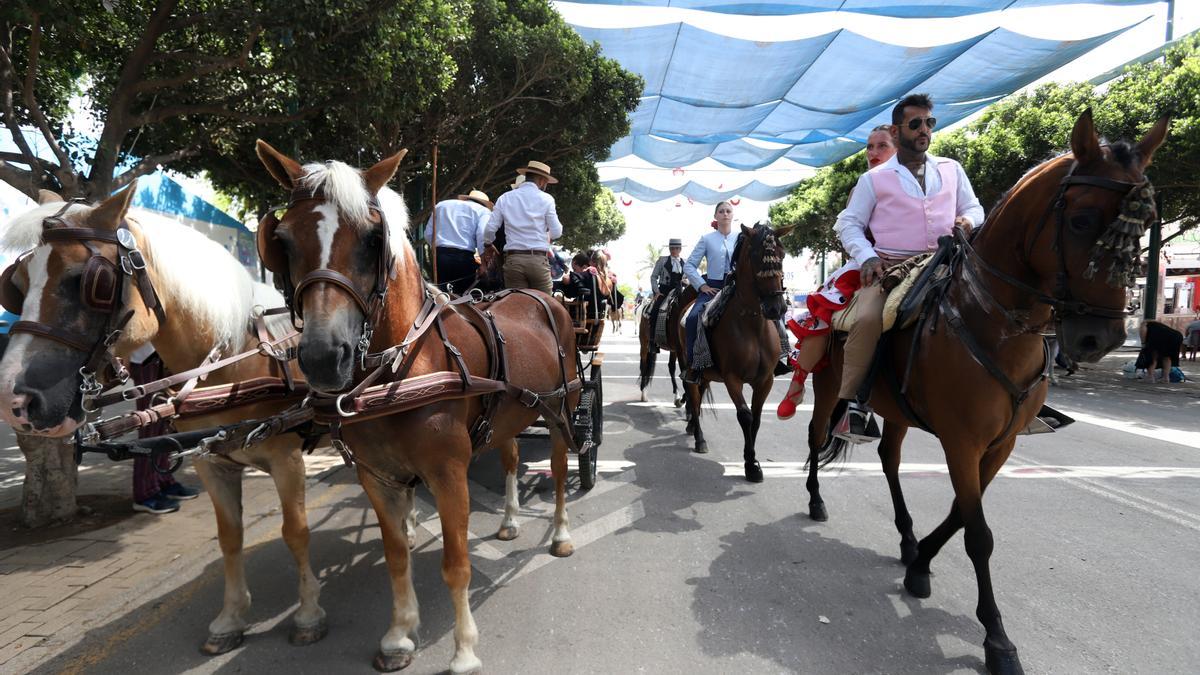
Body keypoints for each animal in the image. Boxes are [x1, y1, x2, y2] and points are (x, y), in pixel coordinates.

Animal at [0, 189, 326, 653]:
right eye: (17, 285)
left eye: (89, 282)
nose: (12, 399)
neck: (233, 358)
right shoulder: (212, 462)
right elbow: (229, 538)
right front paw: (230, 618)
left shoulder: (287, 459)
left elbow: (295, 531)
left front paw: (309, 613)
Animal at [256, 139, 580, 667]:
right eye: (281, 240)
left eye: (373, 239)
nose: (324, 357)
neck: (402, 367)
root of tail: (538, 296)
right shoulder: (377, 476)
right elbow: (395, 557)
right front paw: (399, 633)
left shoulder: (448, 473)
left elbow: (457, 564)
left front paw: (464, 651)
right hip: (510, 413)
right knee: (512, 457)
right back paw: (510, 521)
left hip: (561, 409)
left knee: (556, 468)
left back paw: (560, 534)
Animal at [681, 223, 792, 480]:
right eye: (756, 256)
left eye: (782, 255)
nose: (776, 308)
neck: (752, 324)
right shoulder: (733, 378)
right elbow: (745, 415)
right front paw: (751, 464)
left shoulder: (765, 380)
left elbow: (757, 418)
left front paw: (752, 460)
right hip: (690, 368)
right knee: (693, 398)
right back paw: (699, 439)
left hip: (706, 374)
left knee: (699, 398)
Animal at [801, 107, 1166, 667]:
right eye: (1081, 219)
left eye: (1145, 224)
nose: (1098, 339)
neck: (989, 319)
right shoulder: (962, 441)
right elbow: (978, 535)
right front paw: (996, 637)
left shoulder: (1001, 443)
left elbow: (960, 514)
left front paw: (920, 564)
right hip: (827, 390)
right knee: (818, 437)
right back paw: (817, 500)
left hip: (900, 411)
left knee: (889, 458)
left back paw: (907, 539)